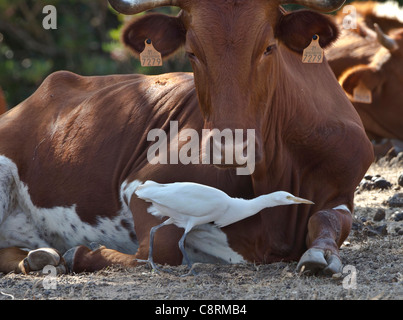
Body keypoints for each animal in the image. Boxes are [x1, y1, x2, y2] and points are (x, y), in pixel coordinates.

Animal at [0, 0, 374, 276]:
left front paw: (319, 256)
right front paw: (80, 253)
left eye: (269, 48)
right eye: (192, 53)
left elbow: (328, 219)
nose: (230, 148)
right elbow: (161, 248)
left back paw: (39, 255)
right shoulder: (141, 184)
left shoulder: (342, 191)